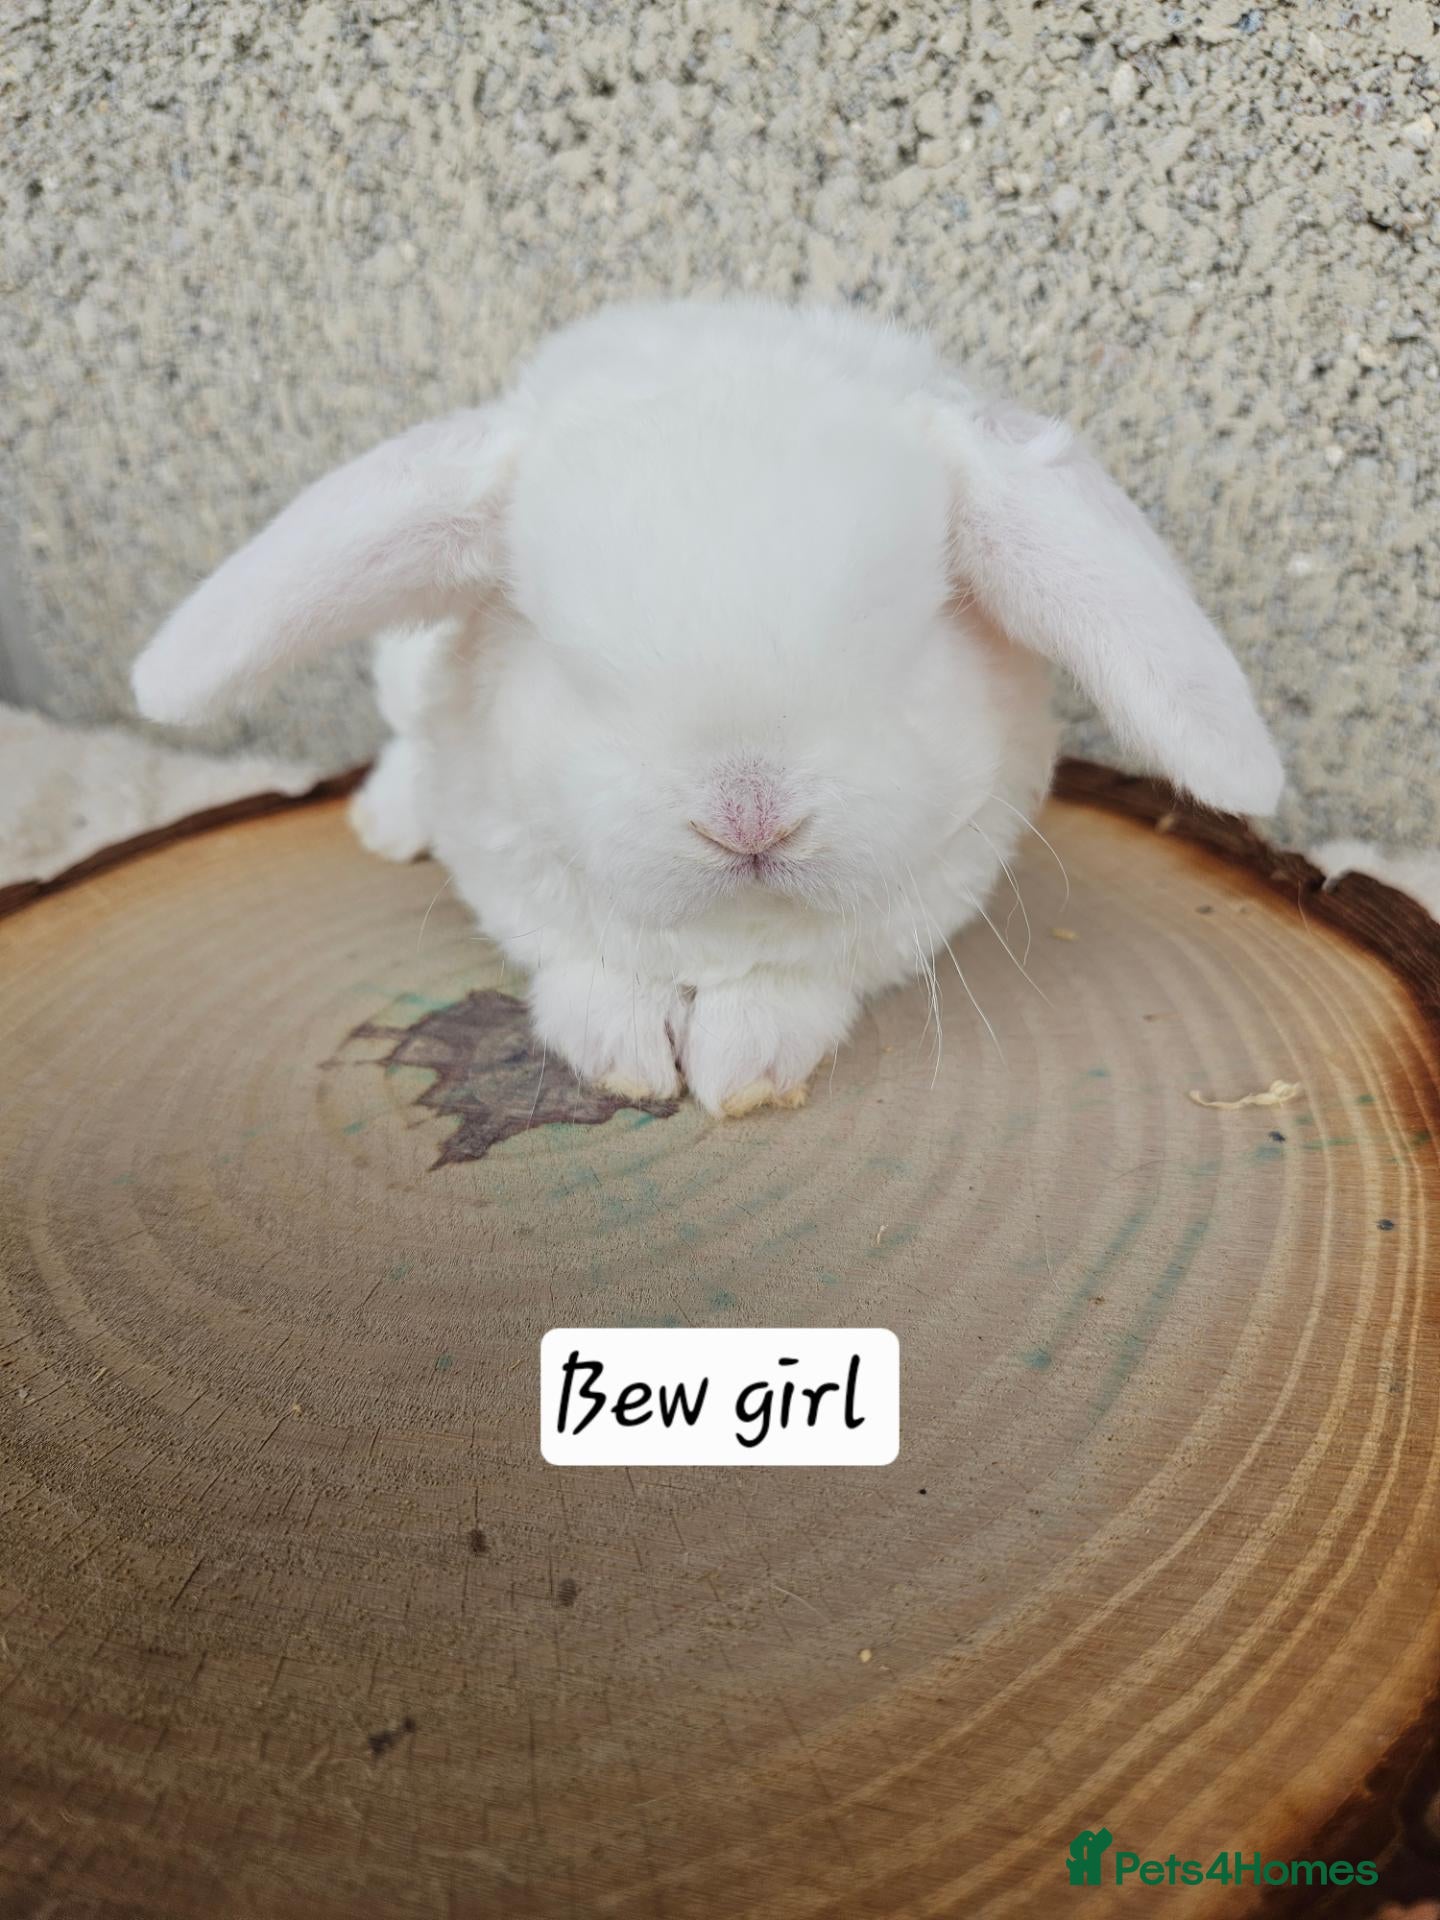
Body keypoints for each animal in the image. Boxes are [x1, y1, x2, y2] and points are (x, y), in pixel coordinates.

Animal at [132, 298, 1282, 1117]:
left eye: (901, 641)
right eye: (575, 663)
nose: (750, 817)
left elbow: (793, 988)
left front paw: (742, 1065)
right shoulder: (513, 872)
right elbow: (587, 969)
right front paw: (628, 1056)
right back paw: (385, 823)